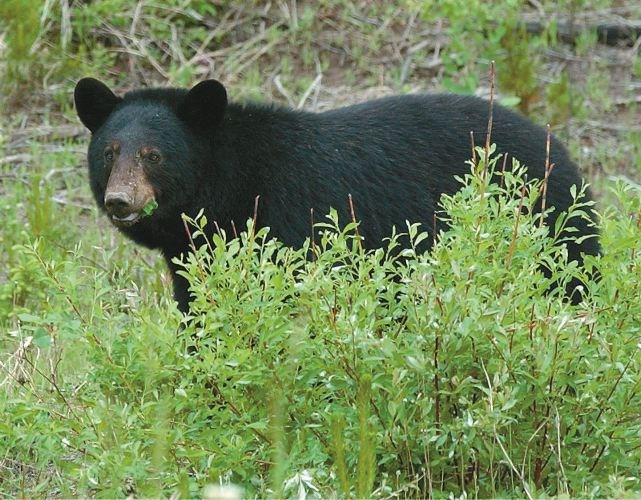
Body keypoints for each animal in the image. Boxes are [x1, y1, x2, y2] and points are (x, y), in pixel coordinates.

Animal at [75, 77, 600, 312]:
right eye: (110, 152)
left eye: (153, 155)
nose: (120, 200)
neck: (230, 187)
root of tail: (560, 149)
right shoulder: (192, 253)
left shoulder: (285, 223)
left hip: (551, 227)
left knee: (570, 281)